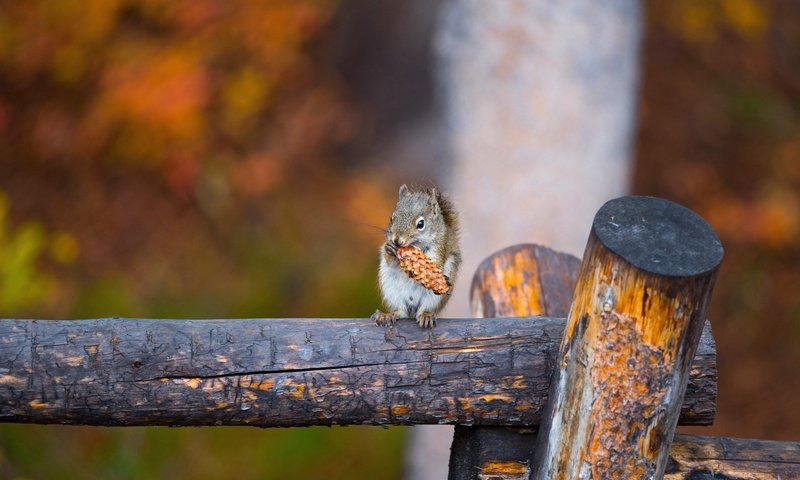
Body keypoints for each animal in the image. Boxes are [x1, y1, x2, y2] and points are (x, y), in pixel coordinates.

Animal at [370, 185, 460, 330]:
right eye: (391, 219)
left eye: (421, 224)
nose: (396, 240)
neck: (415, 245)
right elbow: (389, 260)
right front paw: (389, 249)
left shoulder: (440, 246)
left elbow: (435, 265)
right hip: (390, 289)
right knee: (401, 311)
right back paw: (388, 315)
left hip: (434, 298)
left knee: (425, 308)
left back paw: (426, 315)